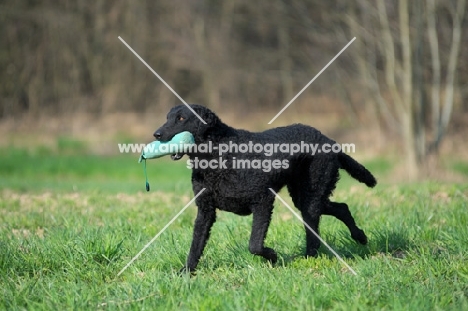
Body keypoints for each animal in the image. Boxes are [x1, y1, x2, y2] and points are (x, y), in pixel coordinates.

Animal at [154, 103, 376, 272]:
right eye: (167, 117)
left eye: (181, 118)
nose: (156, 134)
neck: (218, 154)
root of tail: (330, 141)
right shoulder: (205, 210)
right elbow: (196, 245)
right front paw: (187, 272)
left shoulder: (263, 201)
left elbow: (254, 245)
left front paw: (272, 256)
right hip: (304, 195)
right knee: (341, 208)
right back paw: (359, 237)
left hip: (311, 195)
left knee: (315, 234)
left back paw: (308, 259)